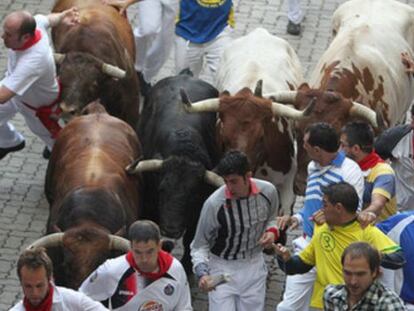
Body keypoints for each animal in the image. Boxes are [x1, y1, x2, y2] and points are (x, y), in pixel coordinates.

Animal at [126, 72, 223, 272]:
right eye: (162, 189)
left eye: (193, 195)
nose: (171, 229)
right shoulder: (148, 204)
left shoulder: (200, 209)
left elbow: (191, 238)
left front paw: (186, 265)